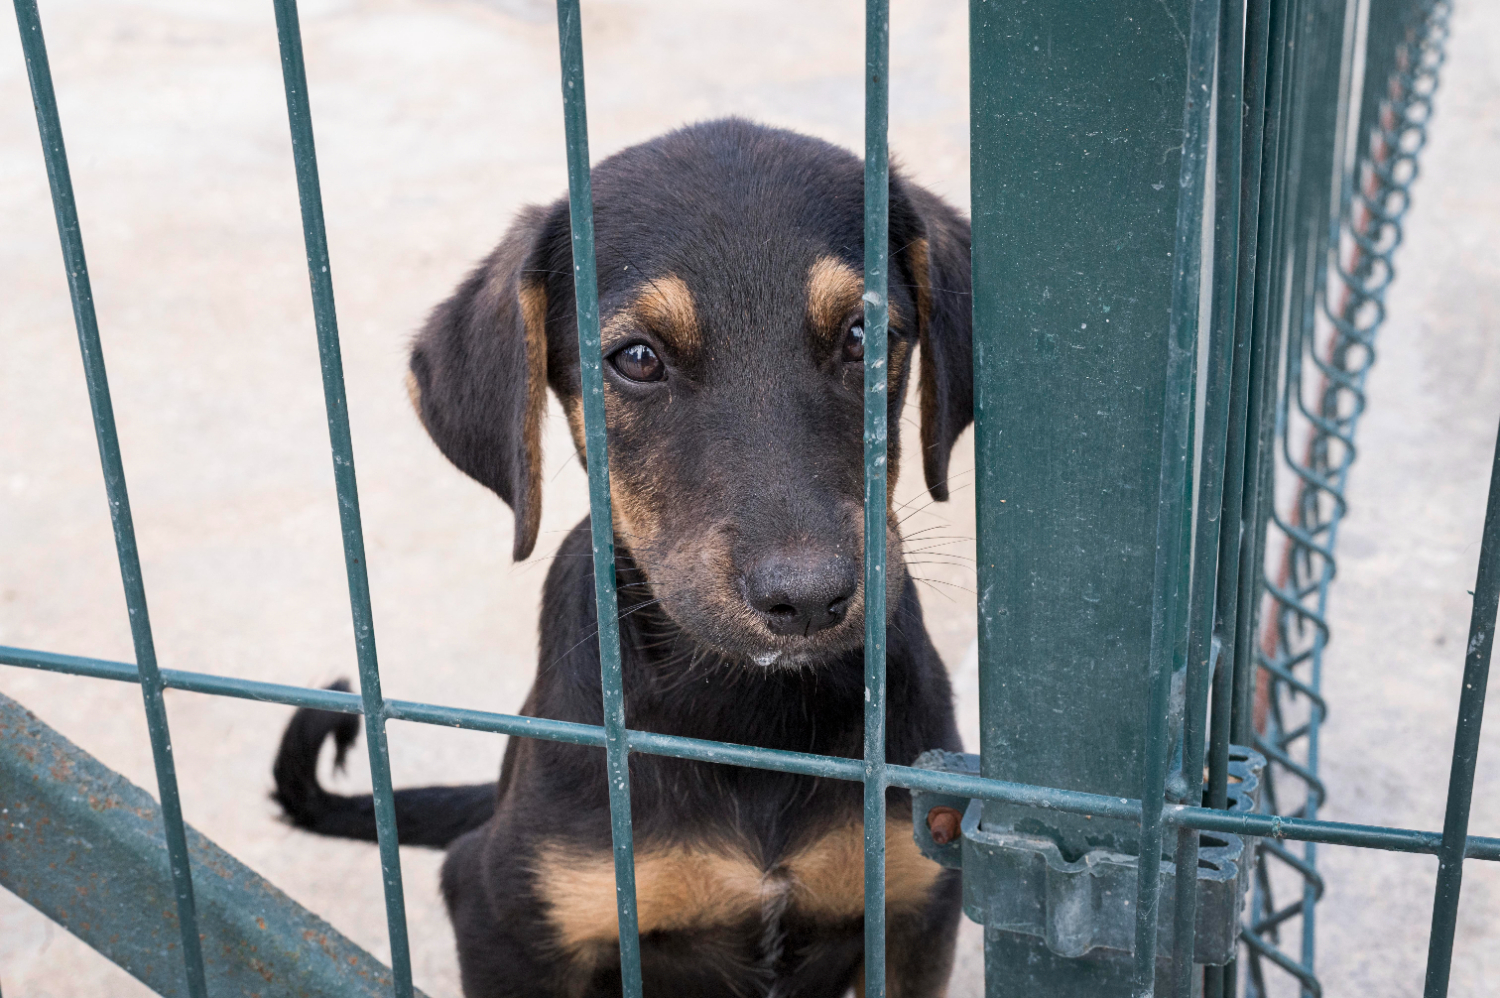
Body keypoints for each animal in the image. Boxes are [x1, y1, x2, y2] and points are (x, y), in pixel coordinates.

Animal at [270, 118, 972, 996]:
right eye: (637, 359)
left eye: (864, 335)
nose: (808, 598)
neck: (744, 716)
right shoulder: (506, 910)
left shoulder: (916, 904)